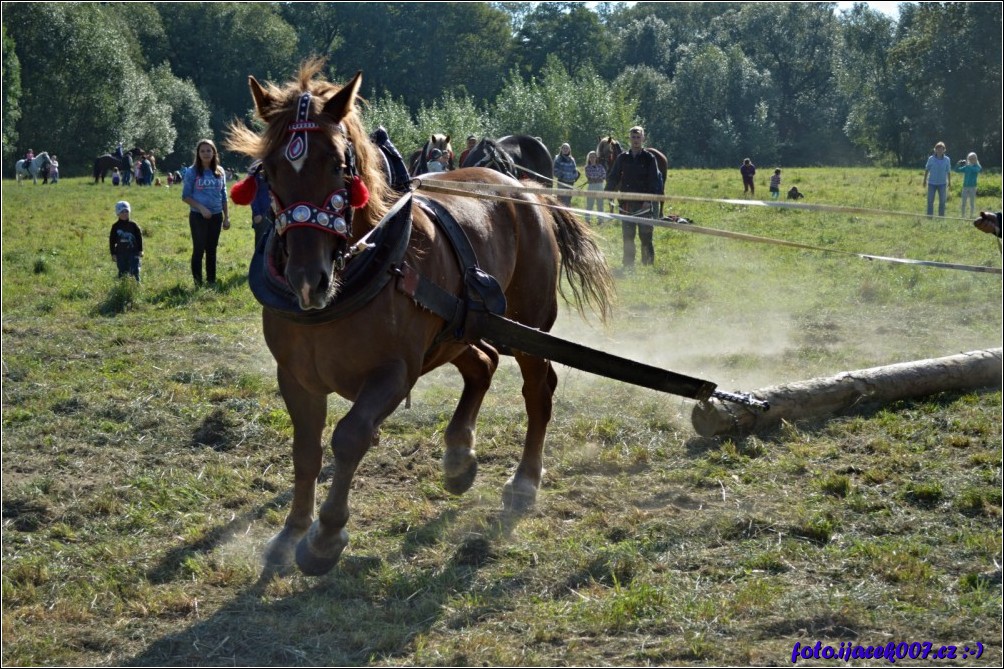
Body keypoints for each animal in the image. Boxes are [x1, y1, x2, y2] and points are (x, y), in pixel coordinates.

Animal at [225, 60, 610, 574]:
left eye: (339, 165)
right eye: (268, 170)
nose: (309, 280)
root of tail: (525, 189)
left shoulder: (394, 373)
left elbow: (349, 437)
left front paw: (325, 536)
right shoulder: (296, 376)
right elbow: (305, 452)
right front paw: (291, 532)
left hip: (526, 327)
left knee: (537, 388)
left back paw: (525, 480)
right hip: (459, 328)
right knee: (483, 363)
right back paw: (459, 455)